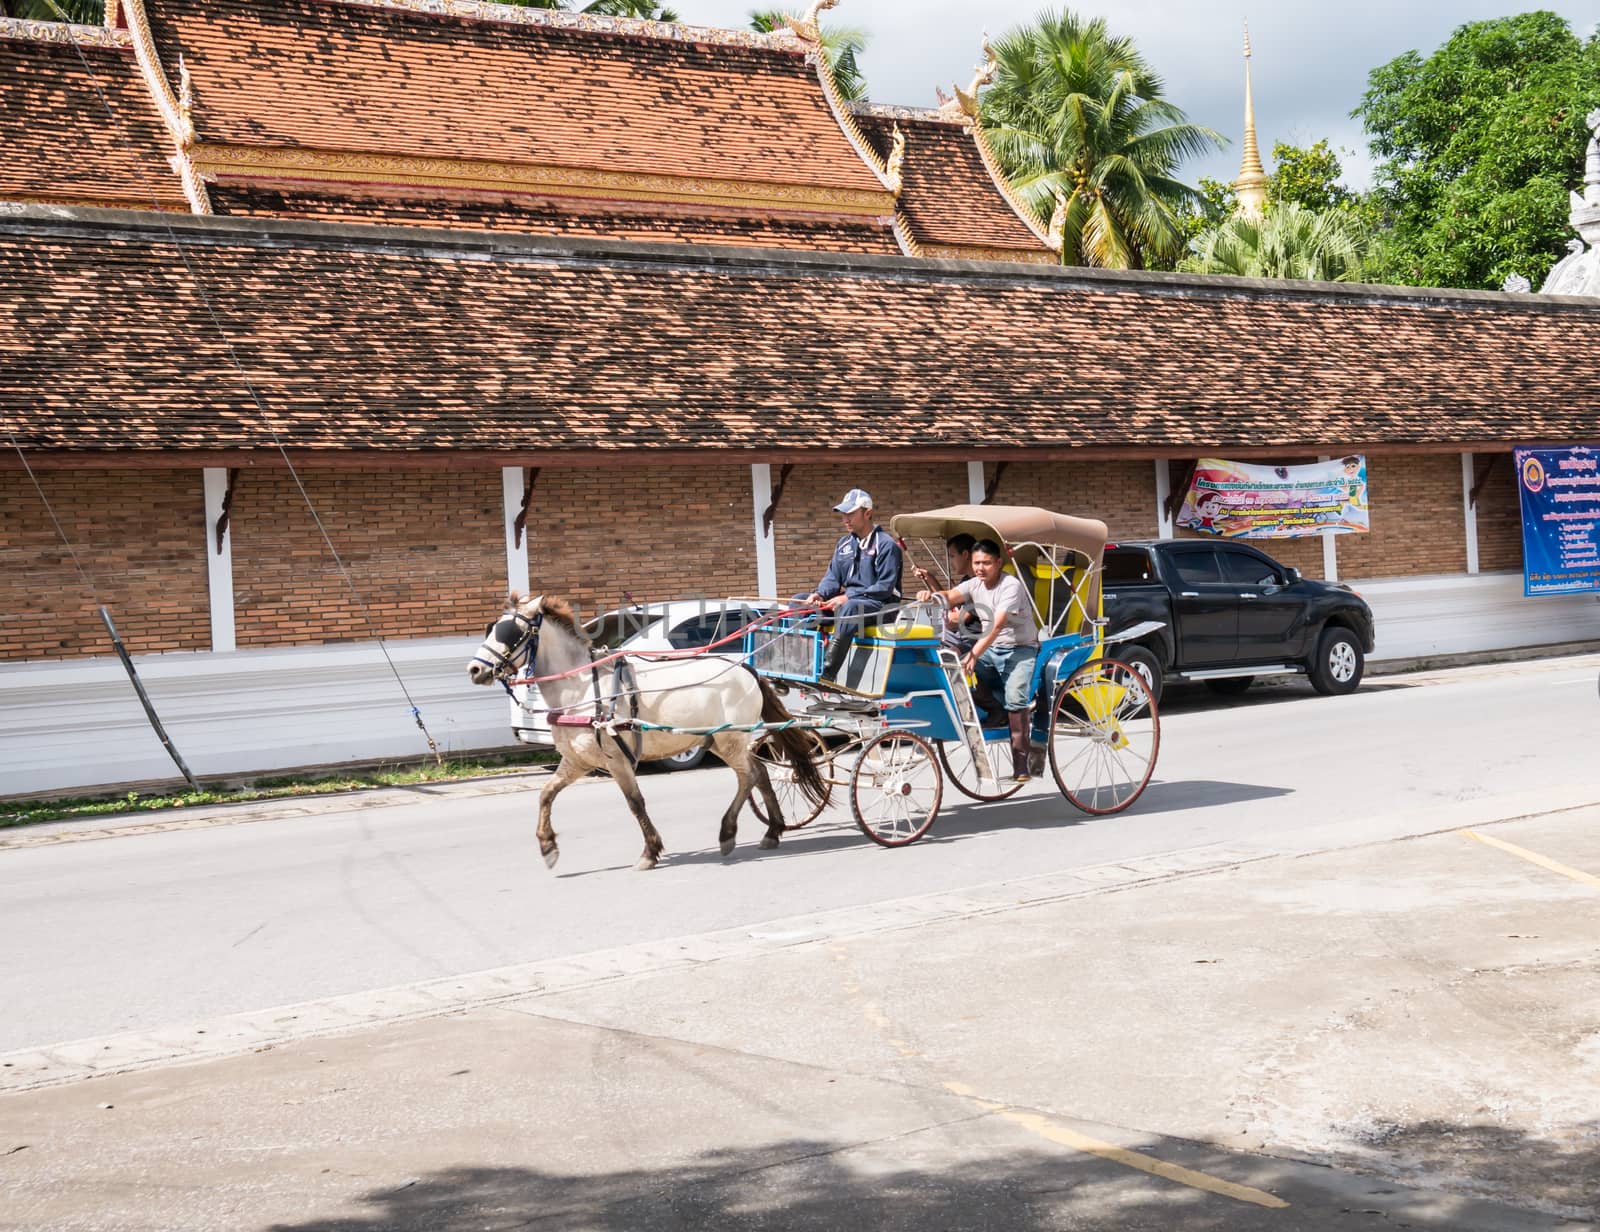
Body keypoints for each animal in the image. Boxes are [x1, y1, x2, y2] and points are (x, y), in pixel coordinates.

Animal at [467, 592, 825, 864]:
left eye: (509, 632)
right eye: (492, 628)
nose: (474, 669)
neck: (581, 687)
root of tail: (747, 670)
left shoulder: (616, 758)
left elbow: (634, 801)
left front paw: (650, 851)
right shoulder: (576, 760)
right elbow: (545, 795)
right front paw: (547, 845)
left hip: (730, 738)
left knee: (749, 776)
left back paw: (728, 832)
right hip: (723, 741)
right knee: (760, 774)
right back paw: (772, 830)